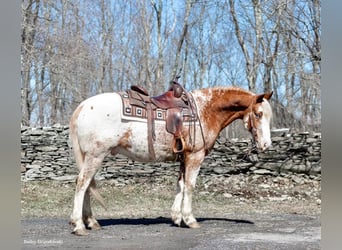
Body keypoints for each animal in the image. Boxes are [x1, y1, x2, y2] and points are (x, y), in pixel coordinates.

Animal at [69, 85, 272, 235]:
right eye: (258, 114)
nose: (265, 145)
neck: (205, 110)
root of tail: (83, 106)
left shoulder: (184, 157)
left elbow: (180, 184)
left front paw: (176, 217)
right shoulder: (195, 156)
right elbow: (190, 185)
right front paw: (189, 219)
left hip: (89, 157)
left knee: (86, 184)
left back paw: (91, 222)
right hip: (95, 155)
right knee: (82, 183)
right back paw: (79, 225)